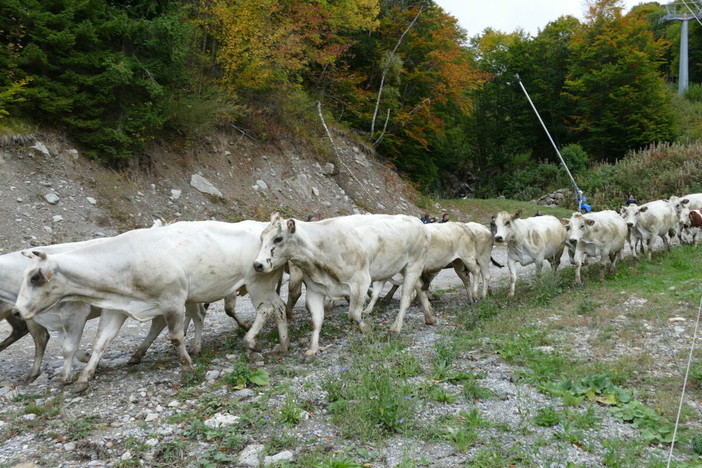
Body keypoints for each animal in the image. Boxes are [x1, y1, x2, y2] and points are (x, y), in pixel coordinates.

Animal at [12, 220, 286, 392]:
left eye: (35, 277)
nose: (16, 311)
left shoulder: (172, 299)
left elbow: (175, 335)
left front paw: (187, 365)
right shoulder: (116, 308)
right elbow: (100, 342)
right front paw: (82, 378)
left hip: (258, 282)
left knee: (267, 308)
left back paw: (252, 341)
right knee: (276, 306)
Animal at [250, 213, 434, 357]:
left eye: (278, 238)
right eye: (261, 238)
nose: (258, 264)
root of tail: (416, 221)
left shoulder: (360, 283)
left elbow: (353, 315)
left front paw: (366, 330)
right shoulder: (315, 289)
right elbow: (316, 320)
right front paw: (312, 349)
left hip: (414, 265)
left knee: (406, 298)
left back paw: (396, 328)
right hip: (405, 267)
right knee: (420, 288)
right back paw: (430, 316)